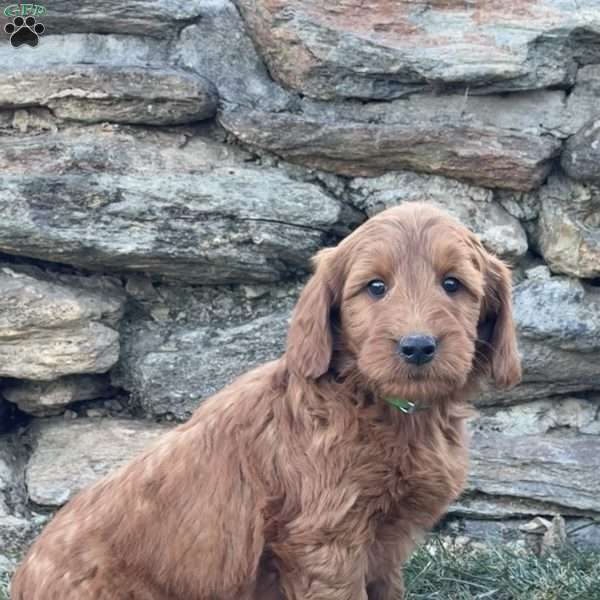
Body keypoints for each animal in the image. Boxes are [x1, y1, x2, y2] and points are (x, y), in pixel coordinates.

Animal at [12, 204, 520, 596]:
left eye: (452, 284)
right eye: (376, 287)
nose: (417, 346)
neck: (377, 404)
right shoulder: (326, 541)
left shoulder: (384, 548)